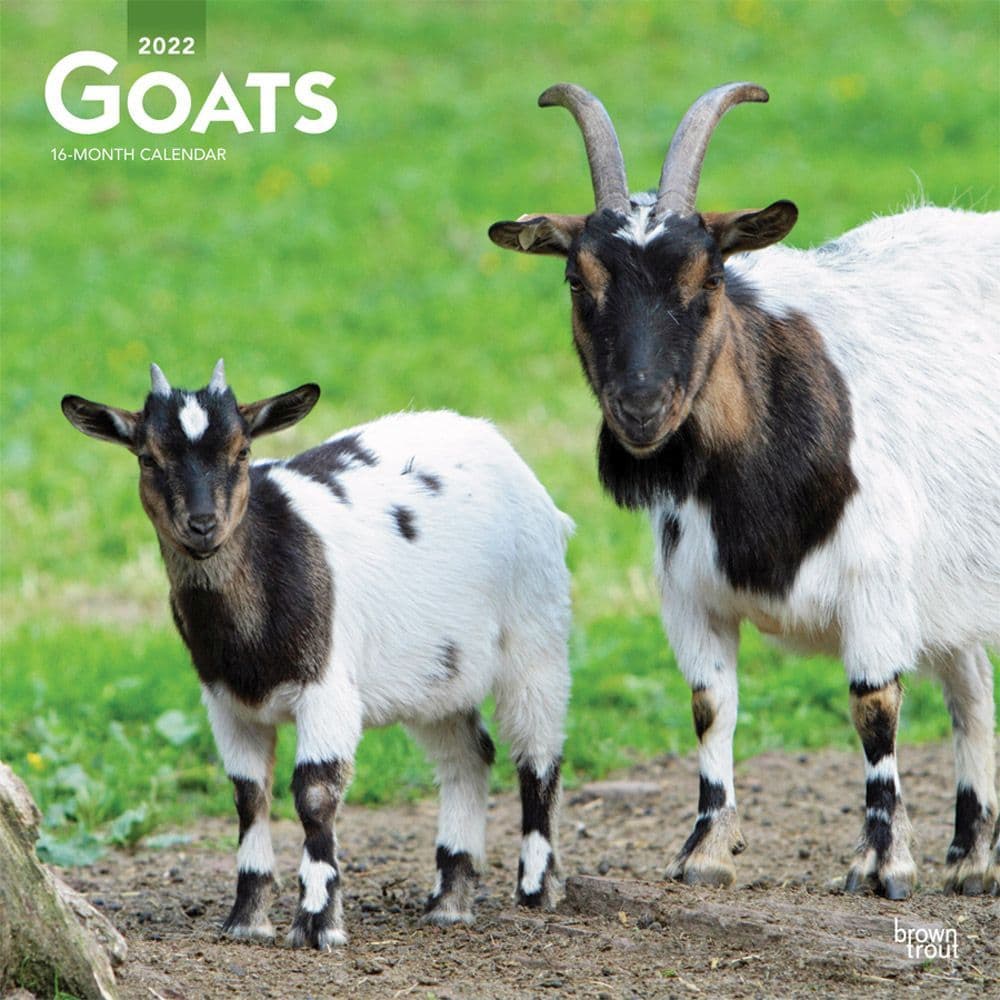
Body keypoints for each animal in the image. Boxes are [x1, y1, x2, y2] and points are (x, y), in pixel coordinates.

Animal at [62, 361, 572, 946]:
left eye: (242, 450)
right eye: (148, 457)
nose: (203, 524)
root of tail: (499, 445)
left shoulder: (326, 688)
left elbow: (313, 792)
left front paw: (316, 921)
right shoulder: (225, 701)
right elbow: (248, 793)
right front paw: (247, 918)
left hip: (537, 632)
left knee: (538, 754)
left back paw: (535, 889)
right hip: (438, 671)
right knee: (469, 755)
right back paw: (449, 898)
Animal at [489, 82, 1000, 898]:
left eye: (712, 276)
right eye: (576, 279)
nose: (640, 407)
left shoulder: (876, 586)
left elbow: (874, 708)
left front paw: (881, 863)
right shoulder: (691, 594)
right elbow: (711, 705)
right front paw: (705, 849)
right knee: (971, 683)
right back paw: (972, 857)